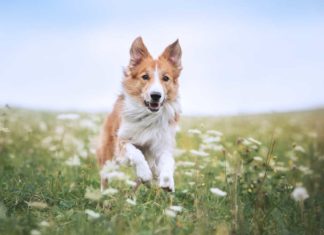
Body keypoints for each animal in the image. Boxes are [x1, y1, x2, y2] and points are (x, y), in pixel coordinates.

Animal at [96, 35, 182, 192]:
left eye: (166, 78)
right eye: (145, 76)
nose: (156, 95)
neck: (148, 115)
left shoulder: (162, 144)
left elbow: (168, 161)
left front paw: (167, 181)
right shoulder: (122, 140)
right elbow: (136, 153)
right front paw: (145, 172)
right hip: (108, 155)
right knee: (105, 177)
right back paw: (104, 194)